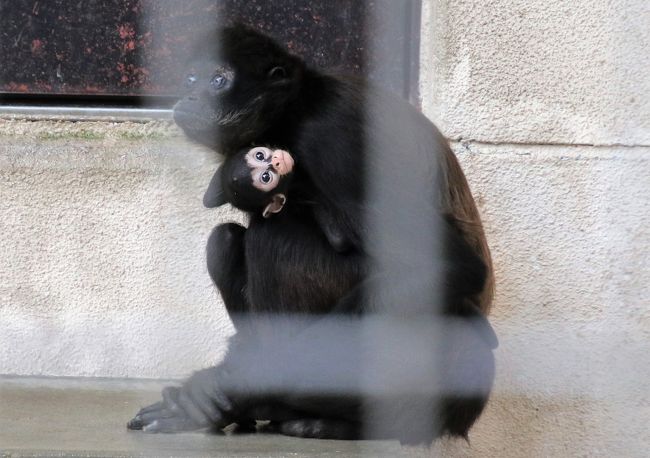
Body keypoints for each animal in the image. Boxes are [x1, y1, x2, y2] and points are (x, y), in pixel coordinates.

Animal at [128, 26, 496, 444]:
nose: (189, 97)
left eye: (217, 81)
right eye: (191, 80)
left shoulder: (331, 137)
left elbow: (450, 267)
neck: (297, 111)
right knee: (224, 241)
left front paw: (226, 390)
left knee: (272, 236)